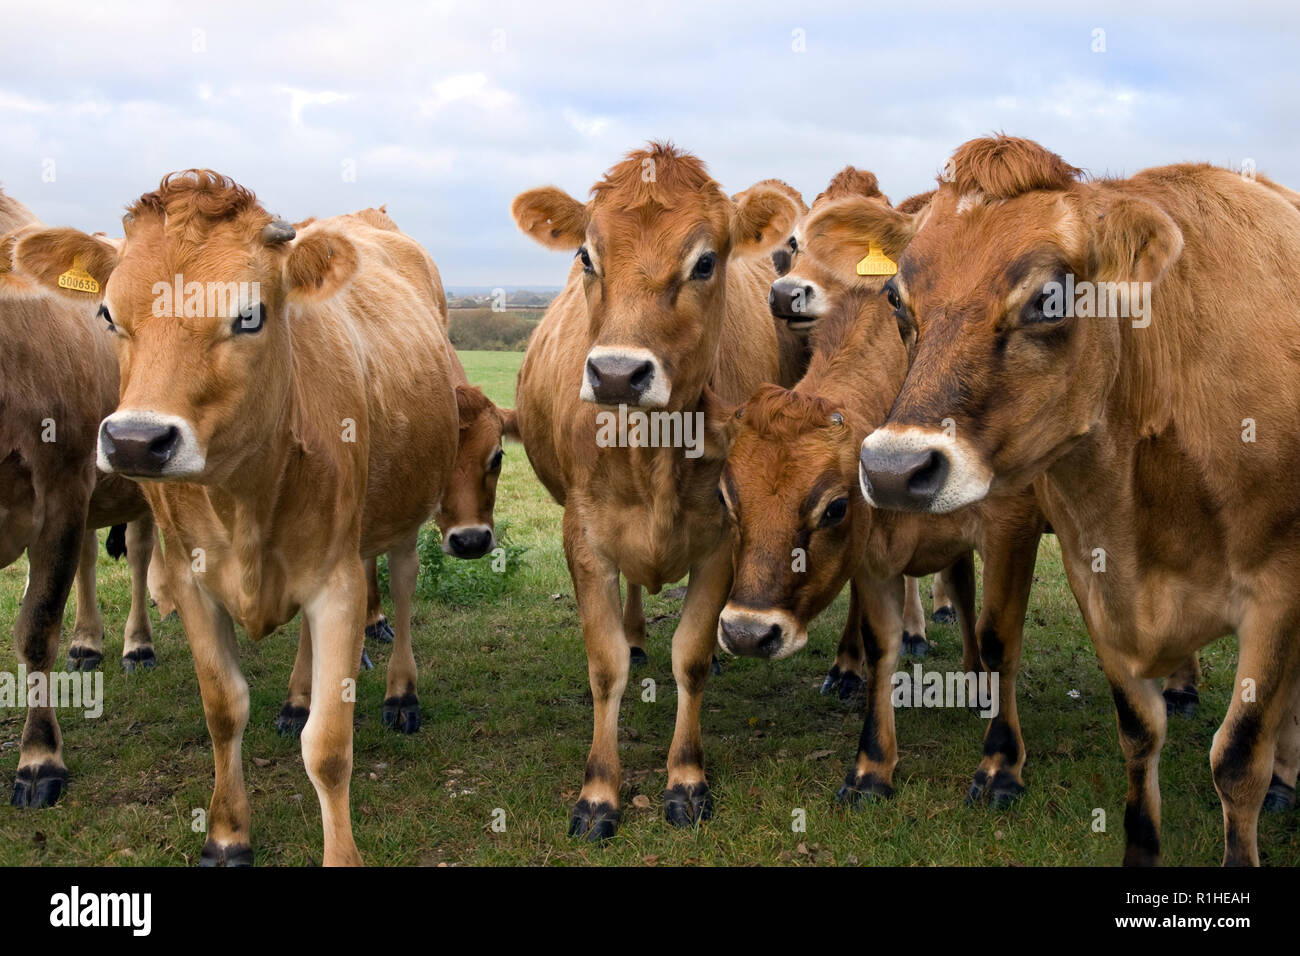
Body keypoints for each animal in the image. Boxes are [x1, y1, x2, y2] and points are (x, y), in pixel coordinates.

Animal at [15, 174, 460, 868]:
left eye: (249, 315)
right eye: (107, 314)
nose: (137, 441)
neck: (245, 496)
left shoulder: (337, 584)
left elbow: (328, 748)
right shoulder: (192, 582)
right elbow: (224, 709)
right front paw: (227, 835)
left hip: (401, 516)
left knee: (407, 585)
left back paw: (401, 694)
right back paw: (296, 698)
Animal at [509, 140, 800, 837]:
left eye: (705, 262)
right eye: (587, 255)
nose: (617, 373)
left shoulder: (722, 539)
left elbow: (690, 657)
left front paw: (686, 778)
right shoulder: (585, 539)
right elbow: (605, 664)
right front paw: (598, 790)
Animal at [857, 136, 1300, 868]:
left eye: (1051, 297)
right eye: (896, 298)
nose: (893, 470)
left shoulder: (1278, 593)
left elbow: (1239, 755)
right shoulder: (1096, 577)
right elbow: (1138, 731)